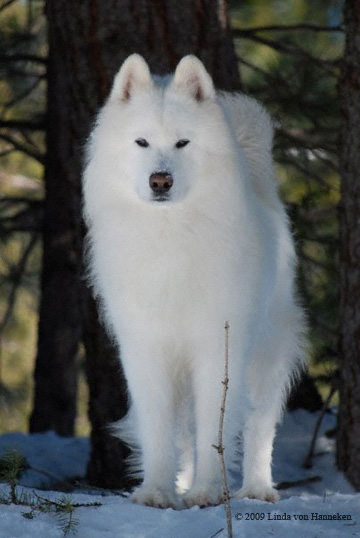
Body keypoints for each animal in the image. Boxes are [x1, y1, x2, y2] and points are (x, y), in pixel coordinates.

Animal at [83, 53, 306, 506]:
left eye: (183, 143)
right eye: (142, 142)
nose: (160, 180)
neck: (170, 235)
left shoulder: (216, 349)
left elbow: (213, 431)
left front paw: (206, 493)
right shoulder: (146, 347)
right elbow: (158, 431)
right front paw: (157, 492)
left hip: (268, 353)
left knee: (259, 428)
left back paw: (257, 488)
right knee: (184, 433)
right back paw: (182, 484)